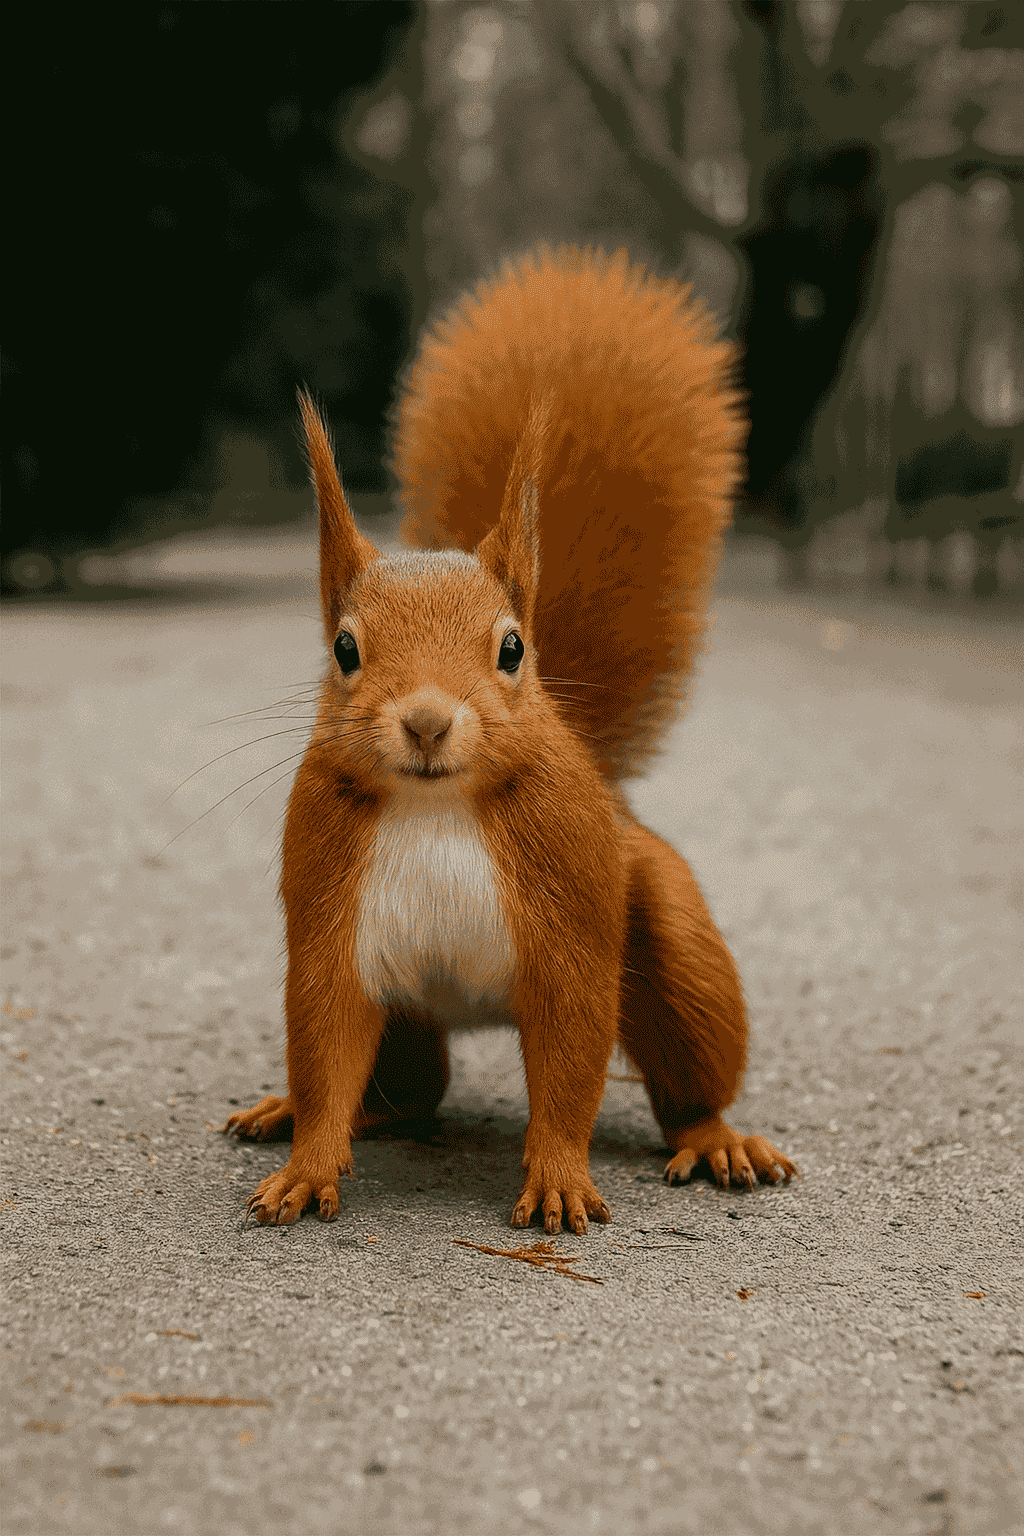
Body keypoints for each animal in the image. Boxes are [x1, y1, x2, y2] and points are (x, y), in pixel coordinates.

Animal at [224, 244, 797, 1232]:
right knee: (408, 1091)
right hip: (407, 1018)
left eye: (512, 648)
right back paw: (296, 1110)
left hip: (668, 935)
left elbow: (569, 1061)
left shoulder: (569, 911)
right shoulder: (331, 915)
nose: (425, 719)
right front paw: (306, 1163)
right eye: (344, 649)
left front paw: (560, 1176)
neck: (436, 805)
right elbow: (326, 1044)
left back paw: (717, 1136)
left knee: (691, 1054)